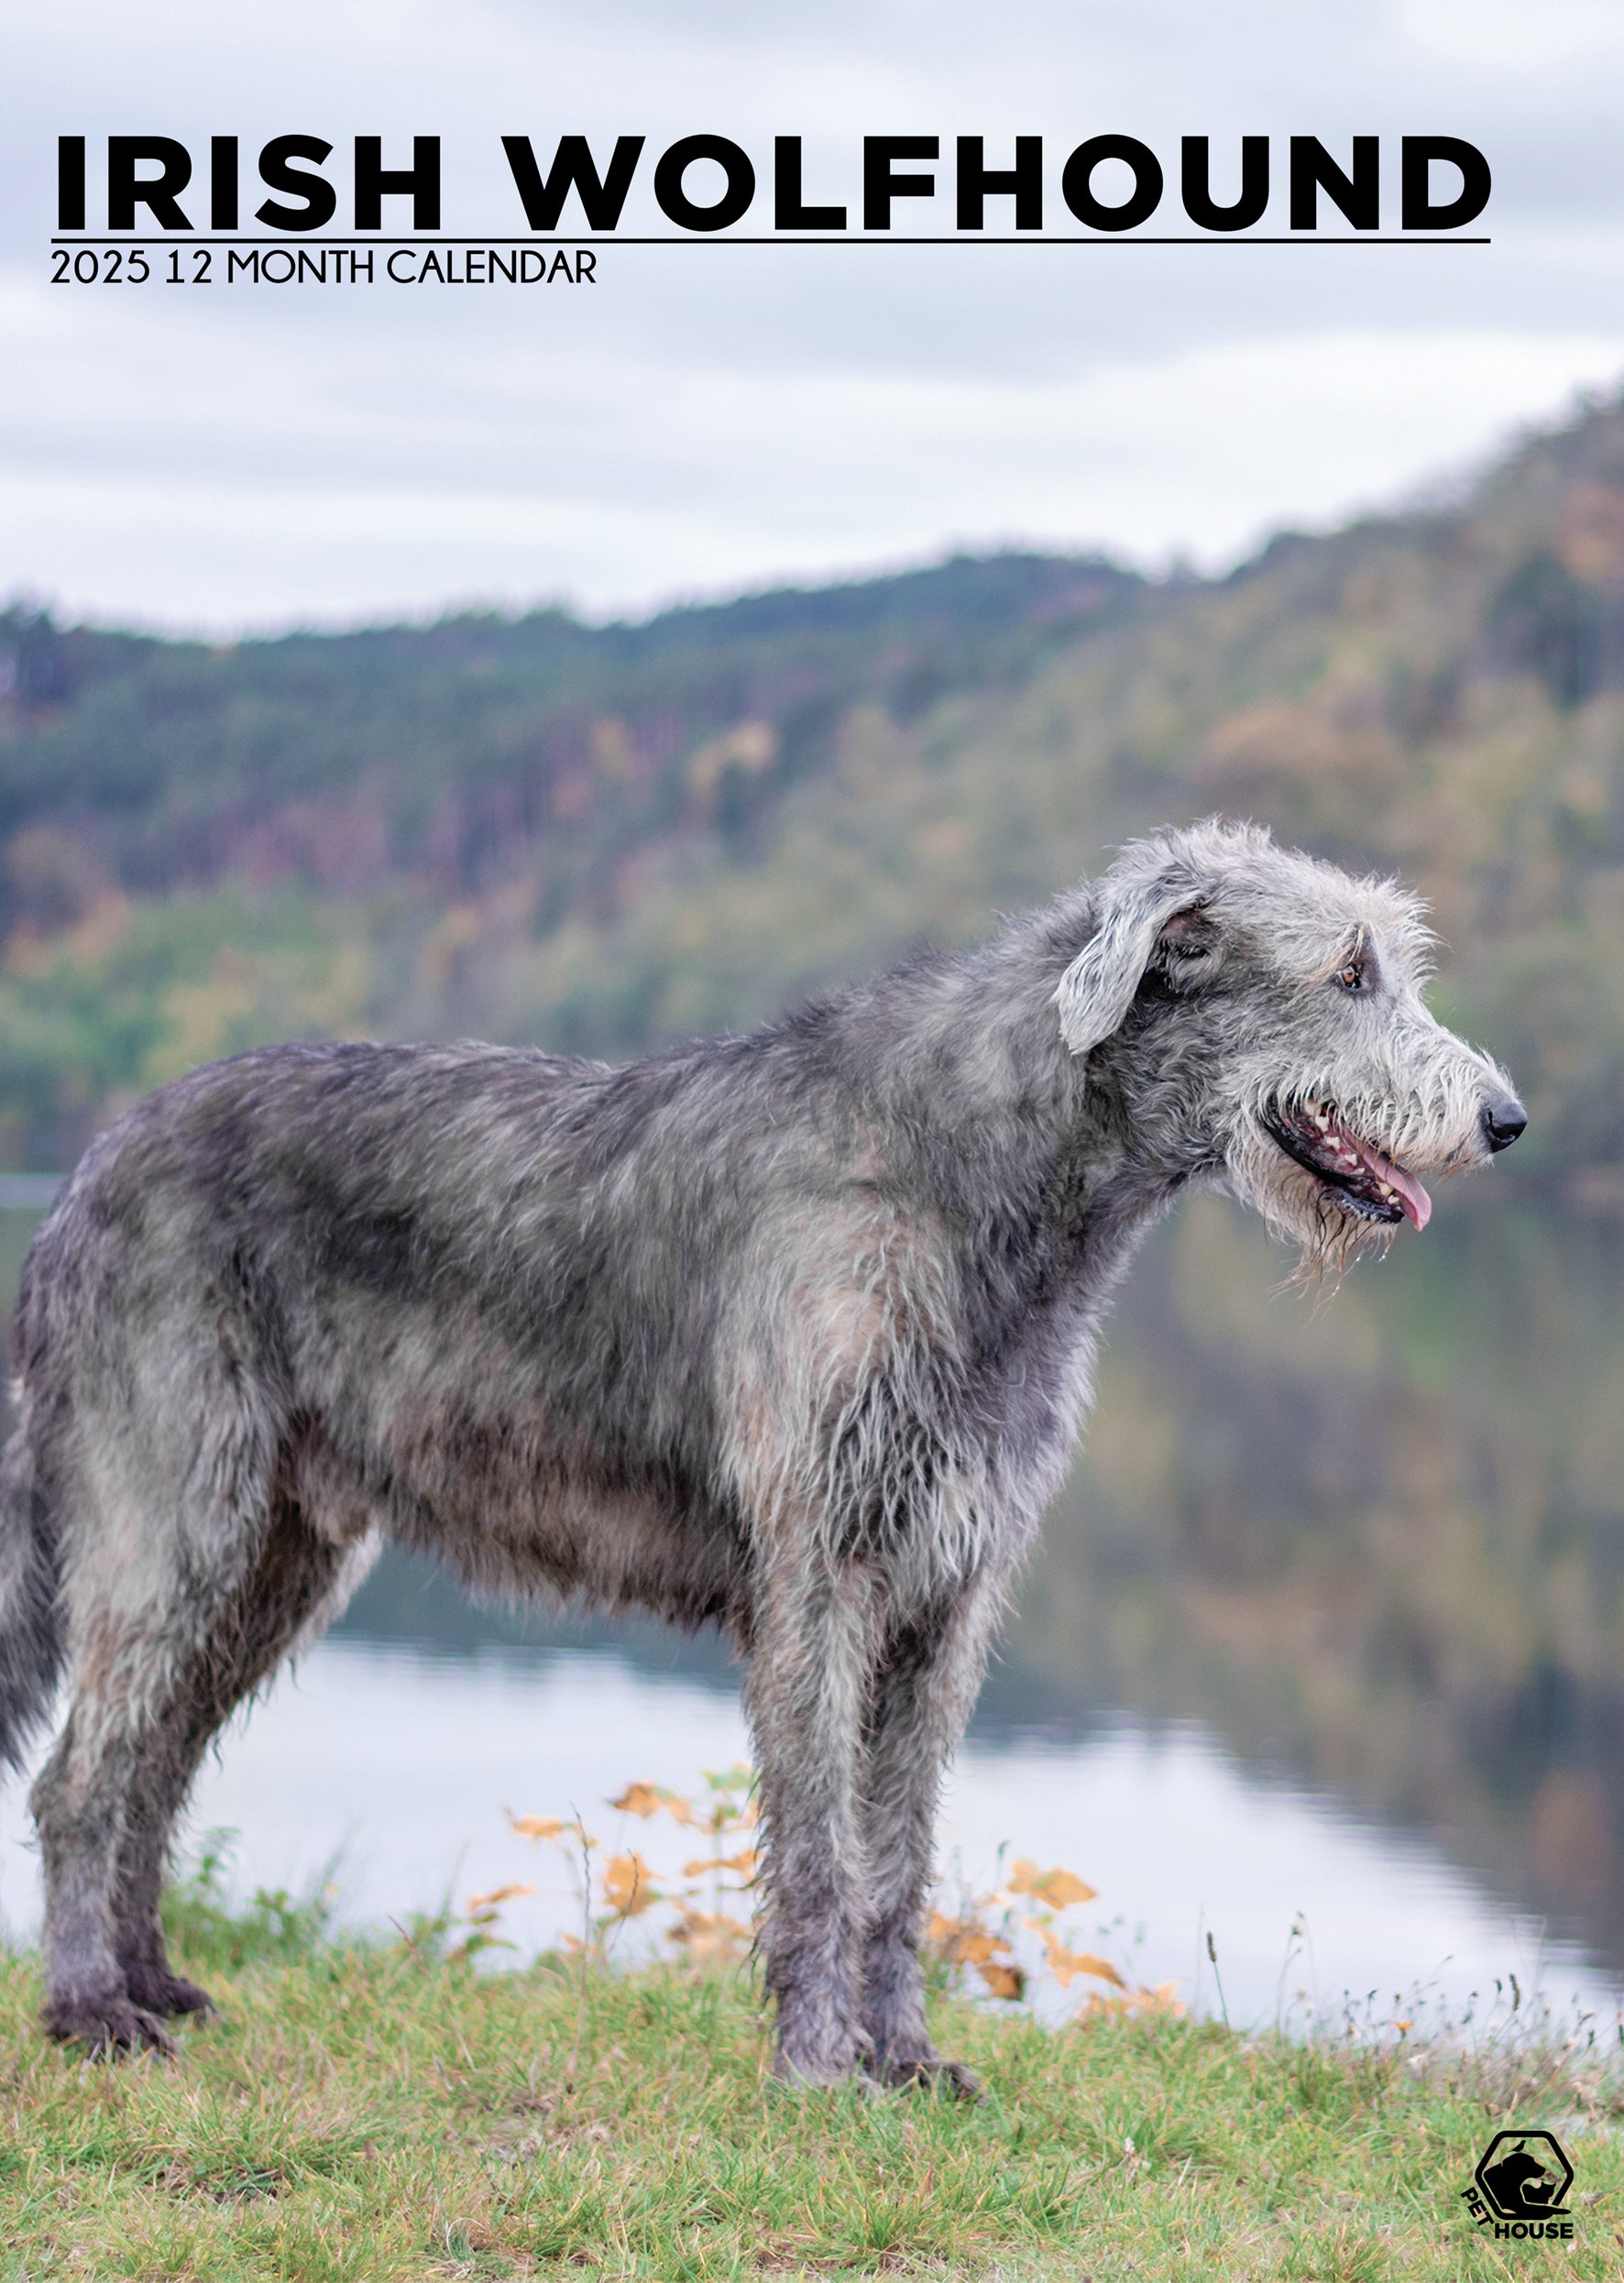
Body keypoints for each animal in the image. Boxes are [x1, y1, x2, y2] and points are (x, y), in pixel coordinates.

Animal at [0, 821, 1525, 2091]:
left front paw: (904, 2056)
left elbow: (898, 1854)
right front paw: (813, 2066)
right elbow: (819, 1846)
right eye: (1348, 971)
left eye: (1393, 965)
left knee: (153, 1765)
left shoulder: (947, 1594)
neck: (972, 1180)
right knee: (80, 1776)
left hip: (277, 1554)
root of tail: (89, 1165)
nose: (1507, 1118)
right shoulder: (820, 1576)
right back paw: (88, 2011)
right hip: (173, 1512)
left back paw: (151, 1978)